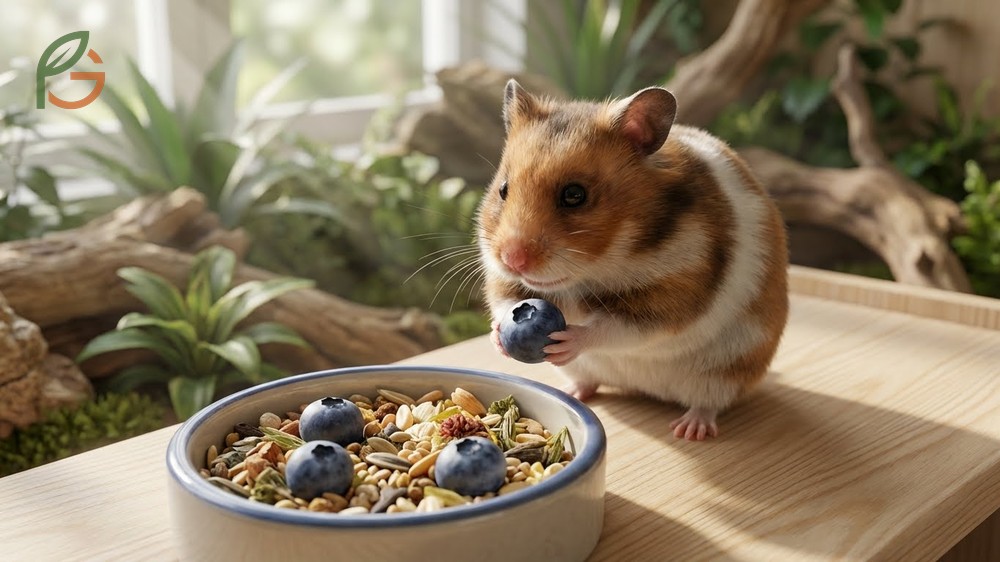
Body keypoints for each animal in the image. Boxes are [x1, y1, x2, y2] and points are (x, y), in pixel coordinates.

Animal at [476, 80, 789, 441]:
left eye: (574, 195)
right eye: (503, 189)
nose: (513, 259)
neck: (591, 269)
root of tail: (645, 389)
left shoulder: (672, 295)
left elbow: (615, 328)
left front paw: (566, 340)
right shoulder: (503, 280)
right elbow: (504, 304)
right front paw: (498, 337)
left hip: (727, 371)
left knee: (708, 403)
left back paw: (689, 429)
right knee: (590, 381)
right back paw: (573, 393)